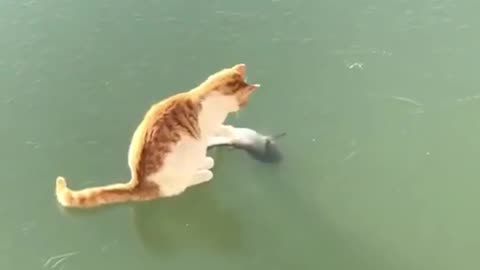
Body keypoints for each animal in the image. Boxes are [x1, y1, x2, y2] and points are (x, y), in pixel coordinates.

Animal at [54, 63, 260, 209]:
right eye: (245, 101)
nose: (245, 106)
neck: (207, 94)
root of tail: (139, 184)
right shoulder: (209, 129)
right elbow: (222, 130)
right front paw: (232, 131)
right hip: (188, 156)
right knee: (181, 186)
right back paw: (204, 170)